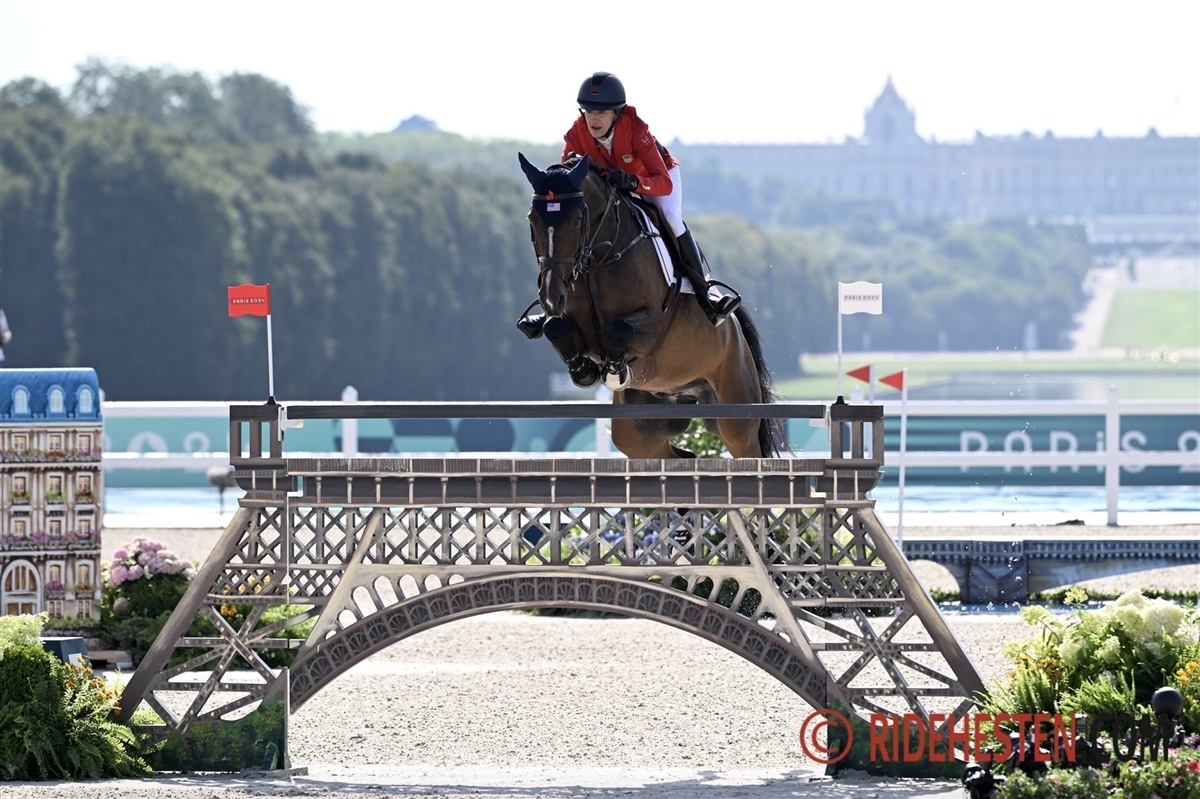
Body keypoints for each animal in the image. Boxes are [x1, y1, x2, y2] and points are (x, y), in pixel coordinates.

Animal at [517, 152, 785, 459]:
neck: (597, 261)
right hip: (641, 430)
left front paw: (615, 371)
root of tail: (736, 329)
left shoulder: (652, 328)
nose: (551, 296)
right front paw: (584, 370)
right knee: (664, 452)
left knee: (744, 445)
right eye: (532, 219)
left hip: (736, 417)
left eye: (576, 220)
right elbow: (555, 327)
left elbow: (619, 329)